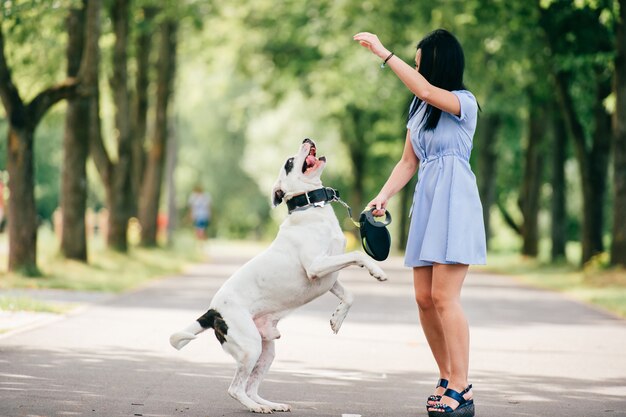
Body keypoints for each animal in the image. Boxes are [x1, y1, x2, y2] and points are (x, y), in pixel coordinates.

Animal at [169, 139, 386, 412]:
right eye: (289, 162)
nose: (306, 139)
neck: (310, 207)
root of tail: (213, 311)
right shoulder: (317, 267)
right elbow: (359, 255)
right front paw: (377, 270)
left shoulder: (330, 278)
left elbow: (350, 295)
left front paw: (337, 319)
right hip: (250, 347)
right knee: (236, 388)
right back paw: (256, 407)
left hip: (266, 351)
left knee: (251, 386)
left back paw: (270, 404)